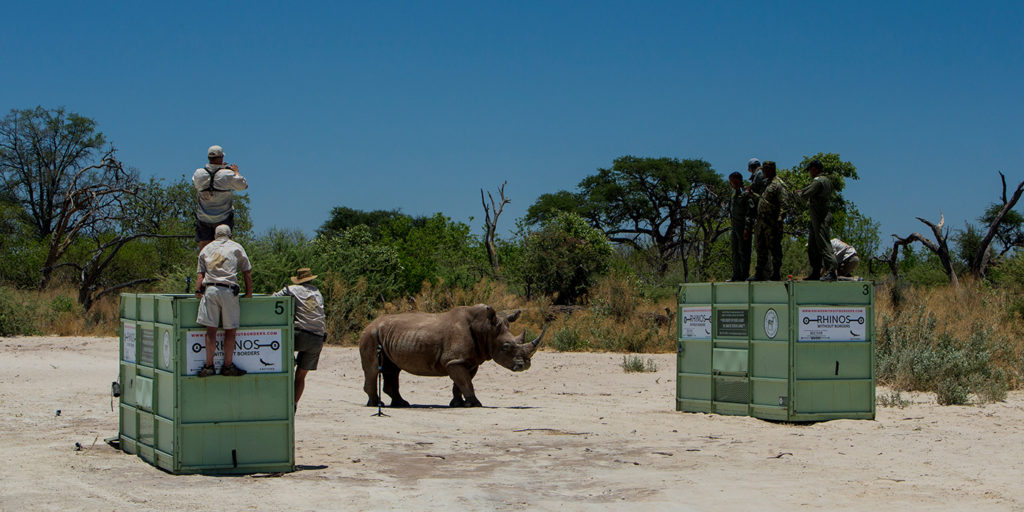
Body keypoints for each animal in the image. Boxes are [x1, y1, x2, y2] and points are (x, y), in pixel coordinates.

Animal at [359, 304, 545, 407]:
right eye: (506, 347)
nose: (525, 365)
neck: (485, 329)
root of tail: (369, 324)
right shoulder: (455, 360)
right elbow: (466, 382)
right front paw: (475, 404)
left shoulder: (466, 361)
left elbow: (460, 383)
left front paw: (459, 404)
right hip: (371, 335)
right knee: (374, 369)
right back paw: (377, 404)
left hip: (387, 335)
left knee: (392, 369)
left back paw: (402, 404)